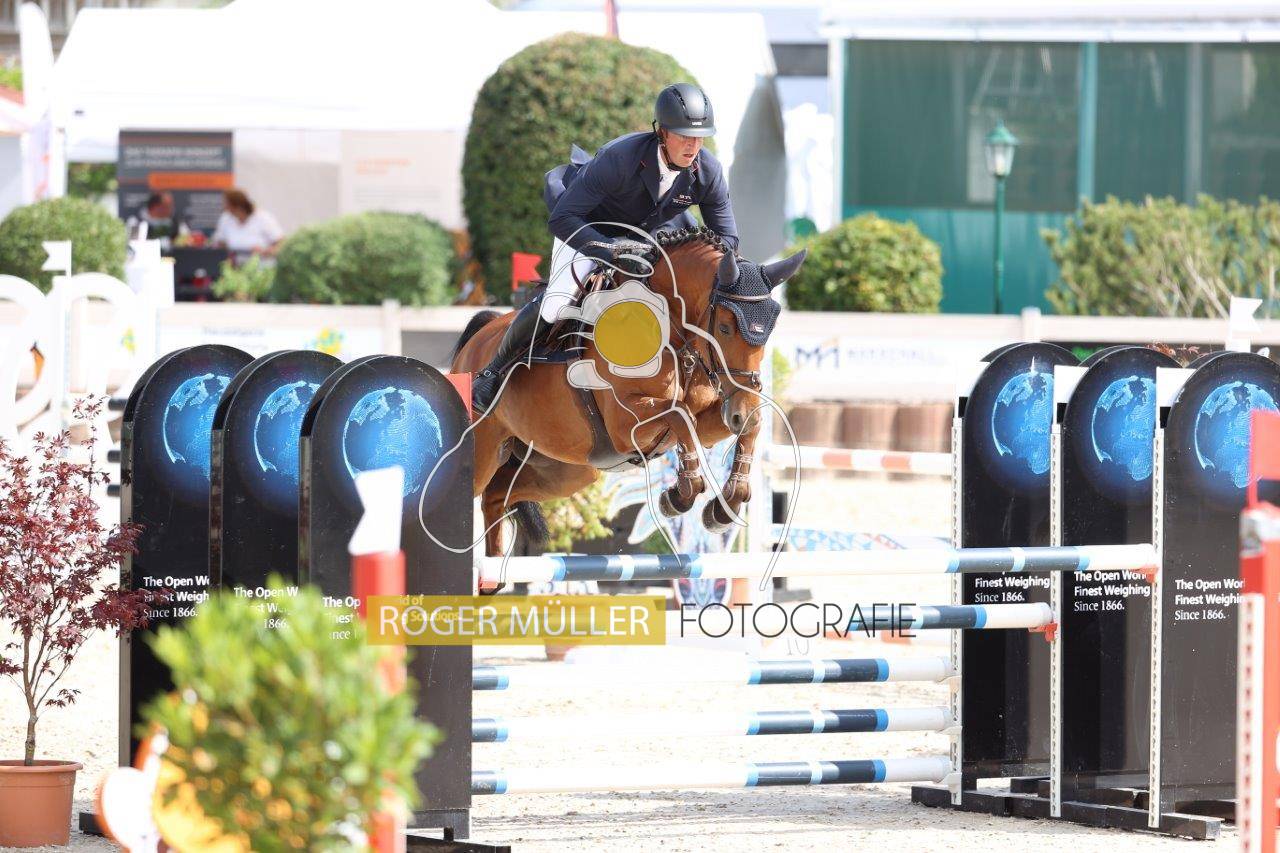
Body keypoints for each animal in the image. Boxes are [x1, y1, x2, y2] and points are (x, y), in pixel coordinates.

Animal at [451, 229, 806, 558]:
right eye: (724, 328)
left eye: (770, 330)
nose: (740, 410)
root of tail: (480, 335)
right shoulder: (623, 427)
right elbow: (681, 415)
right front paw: (680, 496)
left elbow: (744, 425)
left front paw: (726, 504)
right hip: (485, 453)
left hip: (566, 470)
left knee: (496, 496)